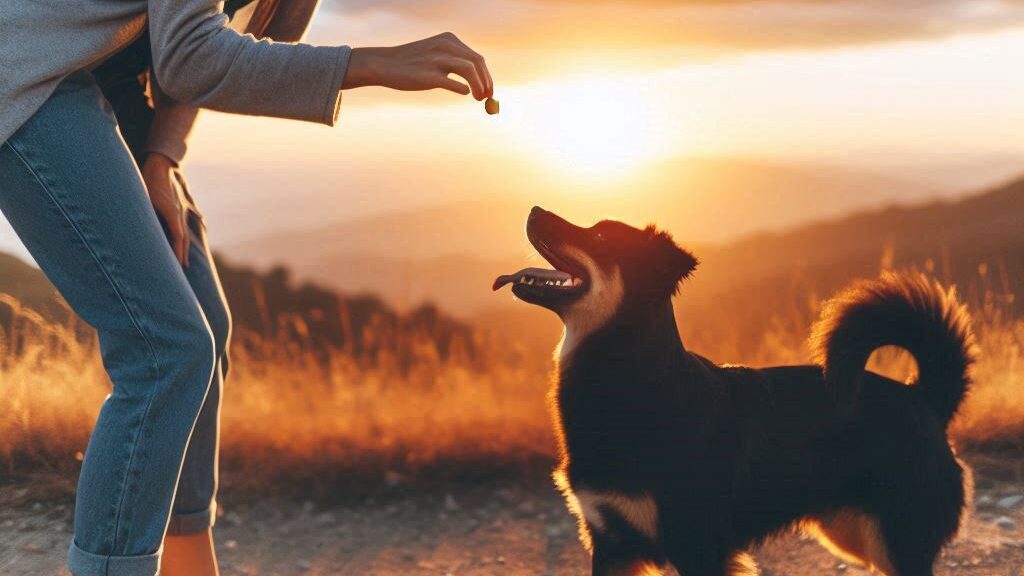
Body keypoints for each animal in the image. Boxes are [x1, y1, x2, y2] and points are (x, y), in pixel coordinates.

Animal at [493, 206, 974, 573]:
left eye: (598, 236)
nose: (534, 209)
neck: (631, 379)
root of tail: (926, 399)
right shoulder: (613, 543)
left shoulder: (697, 544)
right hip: (857, 534)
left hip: (899, 538)